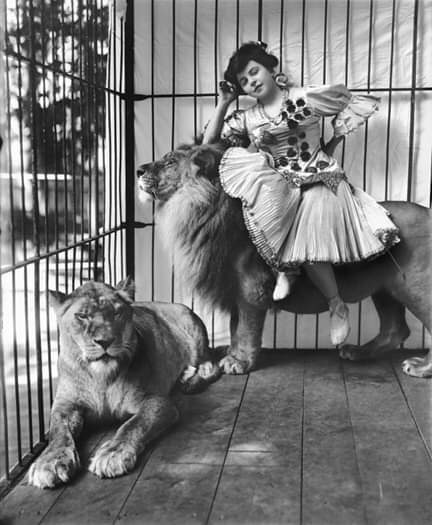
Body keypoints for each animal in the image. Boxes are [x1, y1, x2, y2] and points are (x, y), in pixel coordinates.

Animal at [27, 278, 219, 488]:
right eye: (82, 316)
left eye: (116, 313)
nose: (105, 341)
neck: (101, 378)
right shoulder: (65, 405)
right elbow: (58, 432)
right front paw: (49, 462)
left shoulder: (156, 401)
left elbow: (134, 424)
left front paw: (112, 455)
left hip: (193, 331)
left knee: (211, 365)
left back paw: (189, 381)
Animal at [137, 140, 430, 376]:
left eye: (170, 161)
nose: (139, 170)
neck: (199, 210)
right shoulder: (233, 291)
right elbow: (234, 327)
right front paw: (232, 354)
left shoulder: (251, 289)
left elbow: (245, 329)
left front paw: (239, 362)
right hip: (386, 288)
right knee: (395, 330)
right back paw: (357, 352)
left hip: (416, 289)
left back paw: (420, 368)